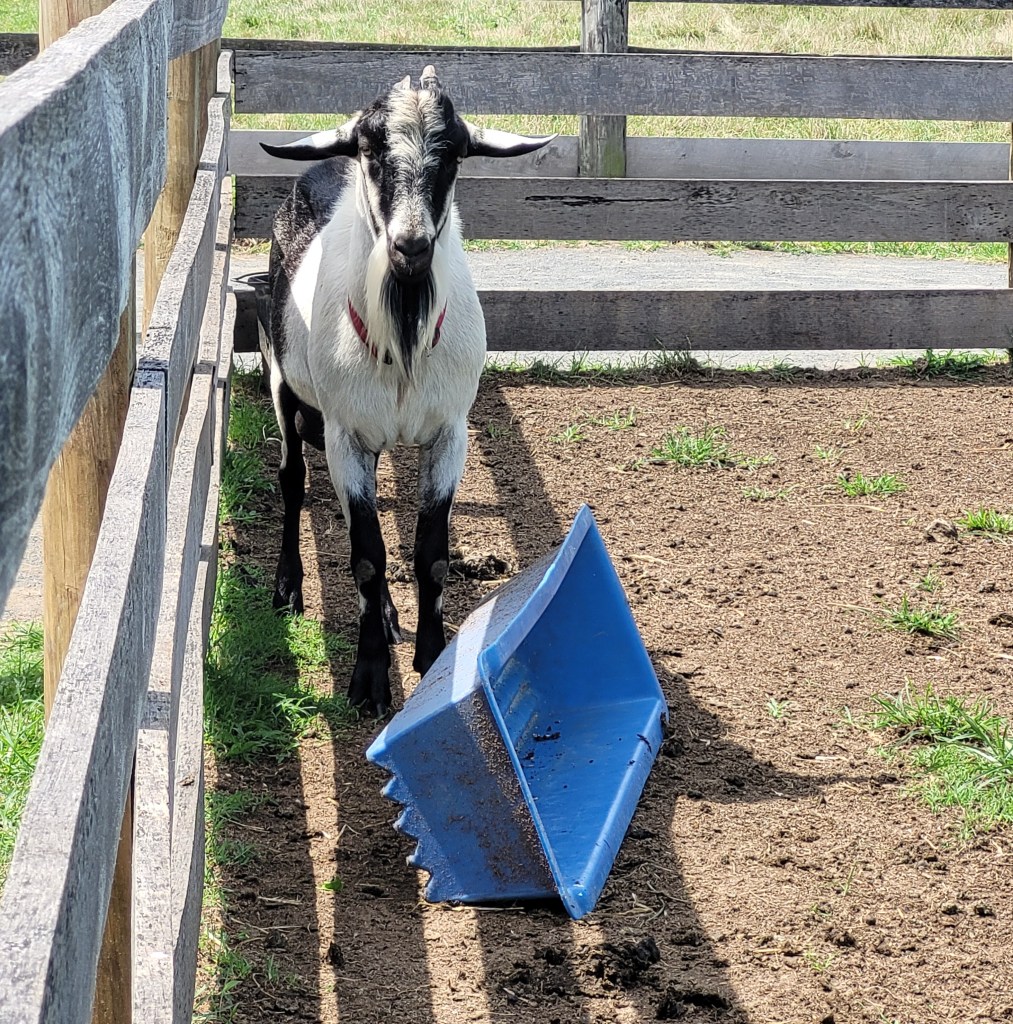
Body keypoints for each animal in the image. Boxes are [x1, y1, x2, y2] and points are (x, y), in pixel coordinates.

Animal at [259, 66, 554, 716]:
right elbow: (368, 557)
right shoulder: (344, 435)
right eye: (372, 150)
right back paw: (288, 587)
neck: (403, 333)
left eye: (455, 153)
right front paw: (369, 680)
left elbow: (431, 554)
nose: (411, 247)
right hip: (282, 381)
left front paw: (431, 657)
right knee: (292, 481)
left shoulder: (450, 433)